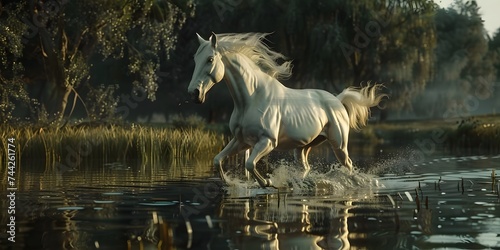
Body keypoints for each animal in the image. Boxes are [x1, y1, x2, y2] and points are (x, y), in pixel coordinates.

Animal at [188, 32, 386, 187]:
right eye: (195, 59)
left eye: (210, 59)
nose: (194, 93)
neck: (251, 98)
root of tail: (337, 100)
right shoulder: (241, 141)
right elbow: (218, 160)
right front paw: (230, 182)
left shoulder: (267, 141)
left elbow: (250, 164)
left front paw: (268, 183)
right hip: (304, 147)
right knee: (306, 167)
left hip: (339, 145)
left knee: (349, 166)